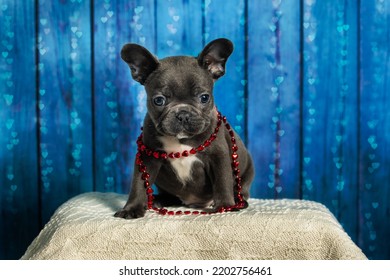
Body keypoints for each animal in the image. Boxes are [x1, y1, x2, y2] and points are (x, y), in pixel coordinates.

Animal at [114, 37, 254, 219]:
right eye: (159, 100)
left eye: (204, 98)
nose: (183, 114)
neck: (181, 140)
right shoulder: (146, 157)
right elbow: (138, 184)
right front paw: (131, 208)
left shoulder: (218, 156)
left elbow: (222, 181)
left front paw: (225, 206)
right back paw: (159, 200)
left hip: (247, 170)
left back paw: (239, 201)